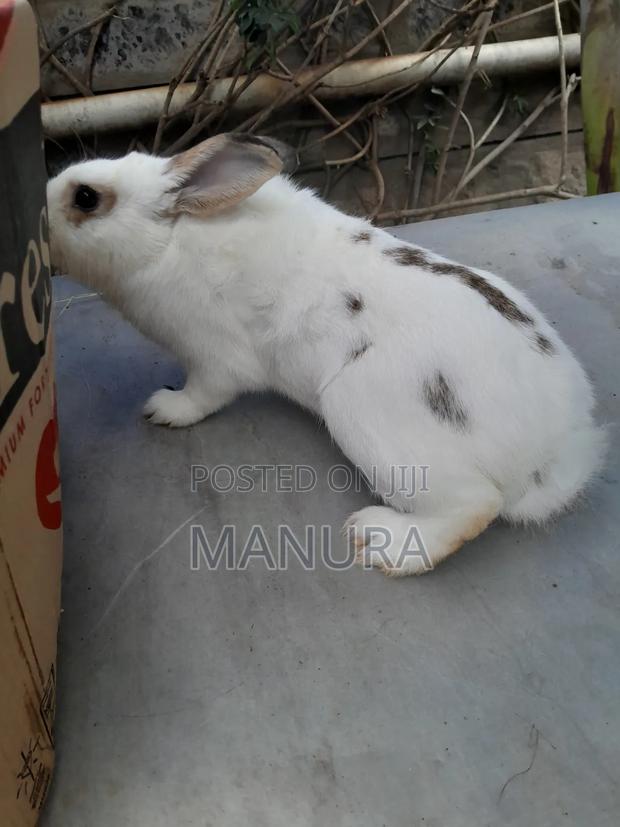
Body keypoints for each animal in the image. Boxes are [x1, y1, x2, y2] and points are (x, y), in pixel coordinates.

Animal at [46, 132, 606, 576]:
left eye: (87, 197)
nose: (40, 207)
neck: (167, 242)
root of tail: (553, 448)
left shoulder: (214, 358)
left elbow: (204, 394)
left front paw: (164, 408)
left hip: (368, 416)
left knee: (474, 506)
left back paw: (379, 543)